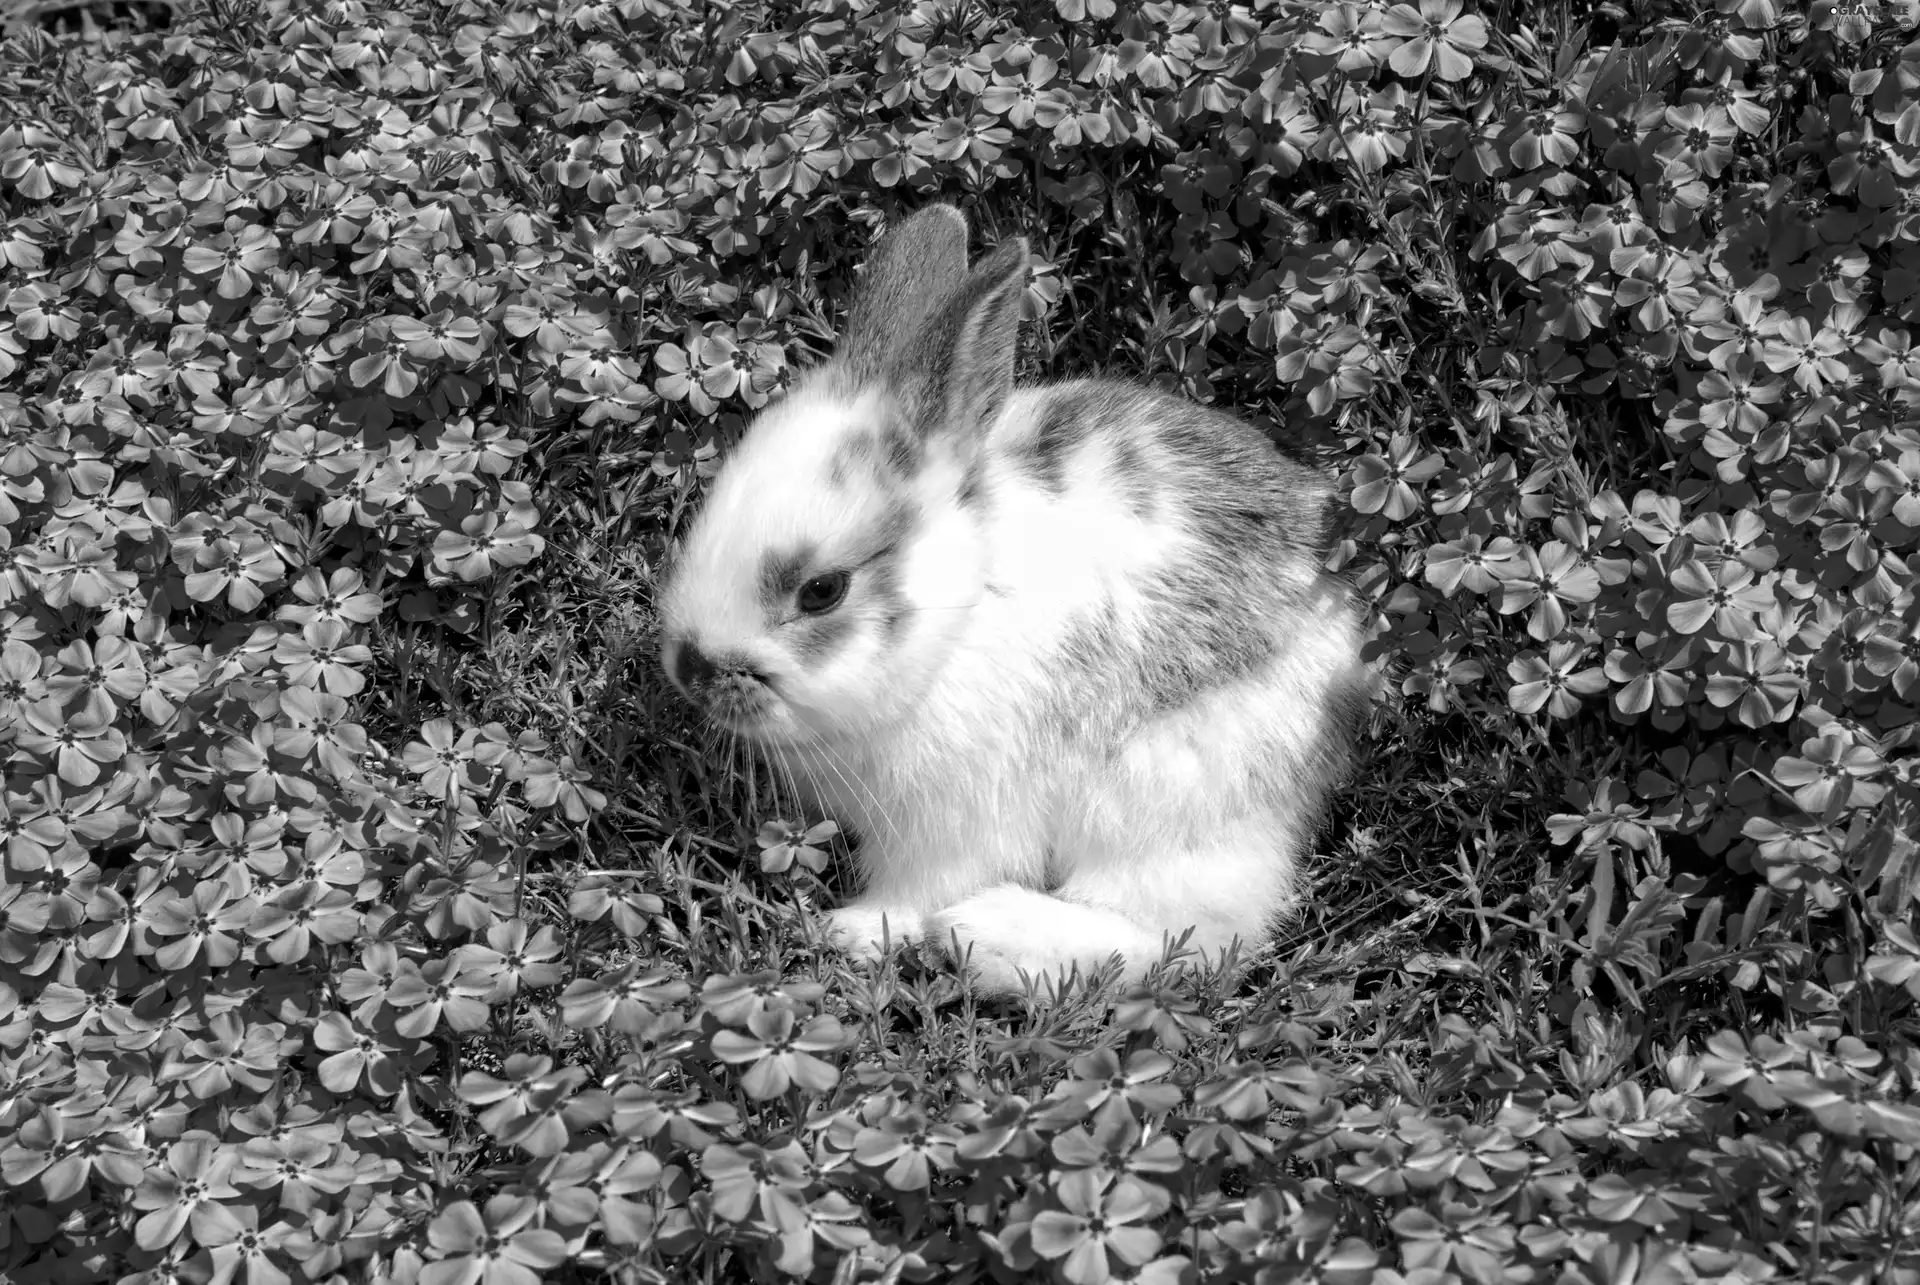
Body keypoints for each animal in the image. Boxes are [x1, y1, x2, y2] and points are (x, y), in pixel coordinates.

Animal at [660, 205, 1367, 998]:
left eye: (821, 591)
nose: (690, 669)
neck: (960, 615)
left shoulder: (955, 820)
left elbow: (919, 888)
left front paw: (851, 931)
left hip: (1168, 802)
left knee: (1186, 939)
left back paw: (987, 937)